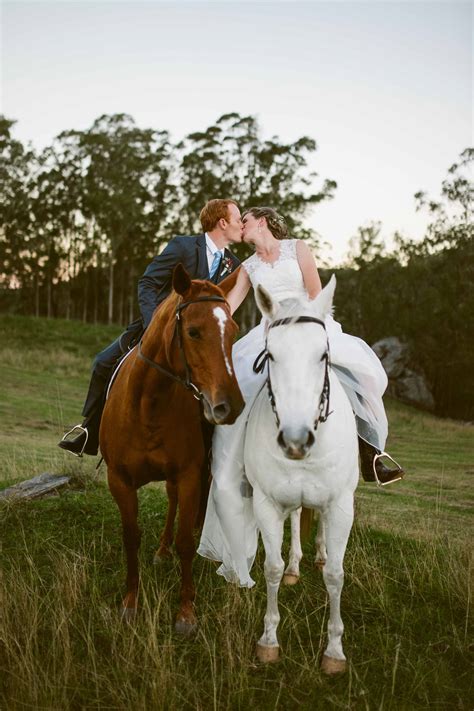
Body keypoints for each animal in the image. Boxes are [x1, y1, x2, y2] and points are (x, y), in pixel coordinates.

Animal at [99, 266, 244, 636]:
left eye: (233, 331)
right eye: (193, 332)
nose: (230, 406)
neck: (150, 402)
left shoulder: (190, 474)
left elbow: (186, 542)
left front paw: (186, 612)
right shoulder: (119, 480)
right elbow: (131, 536)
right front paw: (130, 603)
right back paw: (162, 551)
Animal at [243, 276, 358, 676]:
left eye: (322, 355)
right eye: (271, 356)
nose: (295, 440)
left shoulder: (341, 507)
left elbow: (336, 575)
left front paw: (335, 651)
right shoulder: (266, 503)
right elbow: (272, 568)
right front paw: (268, 641)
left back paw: (319, 553)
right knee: (296, 521)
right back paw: (296, 565)